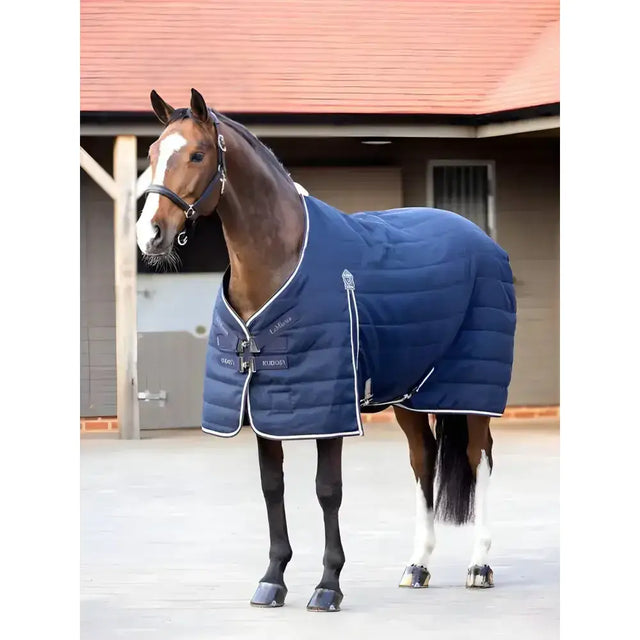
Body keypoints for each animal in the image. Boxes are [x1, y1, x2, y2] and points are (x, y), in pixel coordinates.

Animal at [136, 88, 516, 612]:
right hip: (410, 394)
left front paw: (328, 585)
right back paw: (418, 566)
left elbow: (327, 490)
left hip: (472, 391)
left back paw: (479, 565)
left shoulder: (330, 407)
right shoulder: (265, 403)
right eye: (153, 153)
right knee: (424, 461)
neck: (283, 259)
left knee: (480, 459)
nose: (149, 235)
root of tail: (483, 239)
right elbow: (272, 488)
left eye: (196, 154)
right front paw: (272, 580)